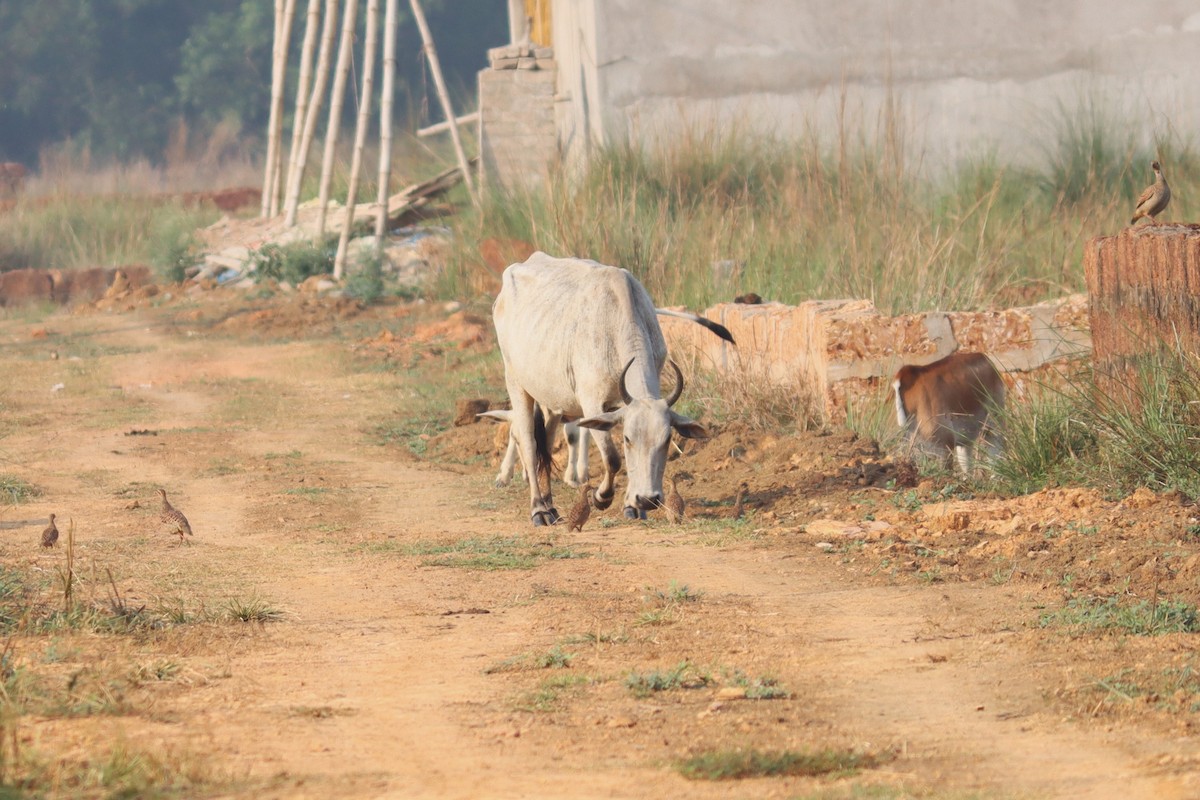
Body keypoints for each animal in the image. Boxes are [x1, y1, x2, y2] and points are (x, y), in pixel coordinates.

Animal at [489, 251, 729, 525]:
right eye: (627, 438)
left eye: (668, 439)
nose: (648, 498)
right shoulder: (592, 402)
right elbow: (612, 458)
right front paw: (601, 497)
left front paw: (633, 506)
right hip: (515, 381)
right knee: (528, 442)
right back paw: (539, 509)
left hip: (551, 399)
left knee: (545, 446)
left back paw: (550, 505)